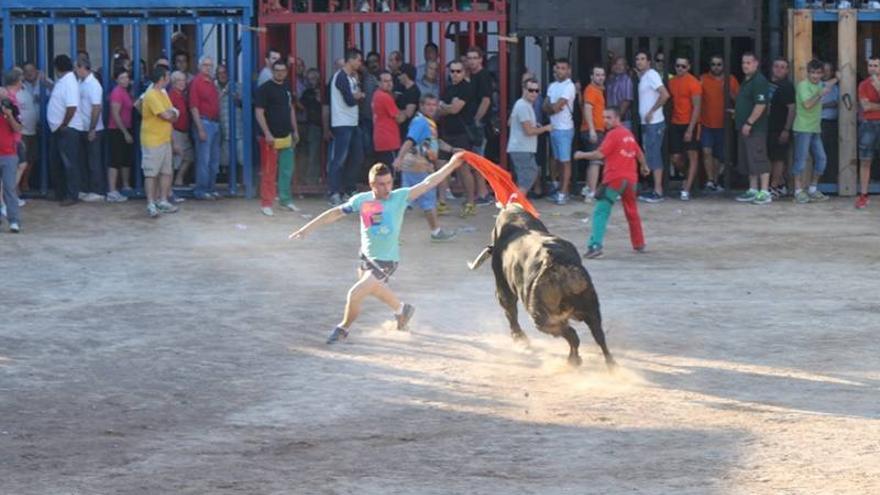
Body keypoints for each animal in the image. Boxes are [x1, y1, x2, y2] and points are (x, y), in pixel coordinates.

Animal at [468, 204, 620, 368]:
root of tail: (559, 266)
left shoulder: (504, 289)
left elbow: (510, 312)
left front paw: (519, 338)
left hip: (541, 317)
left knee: (573, 335)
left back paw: (573, 360)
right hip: (590, 307)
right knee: (598, 335)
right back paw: (610, 365)